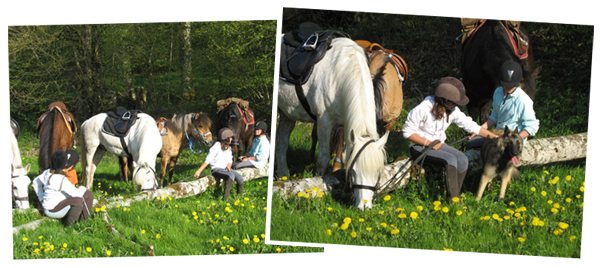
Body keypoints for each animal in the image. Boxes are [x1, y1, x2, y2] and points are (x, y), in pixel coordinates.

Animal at [276, 37, 390, 209]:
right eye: (354, 172)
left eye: (377, 172)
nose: (364, 207)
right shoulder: (324, 122)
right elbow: (322, 158)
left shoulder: (346, 125)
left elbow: (343, 156)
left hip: (286, 114)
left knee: (281, 143)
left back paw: (283, 176)